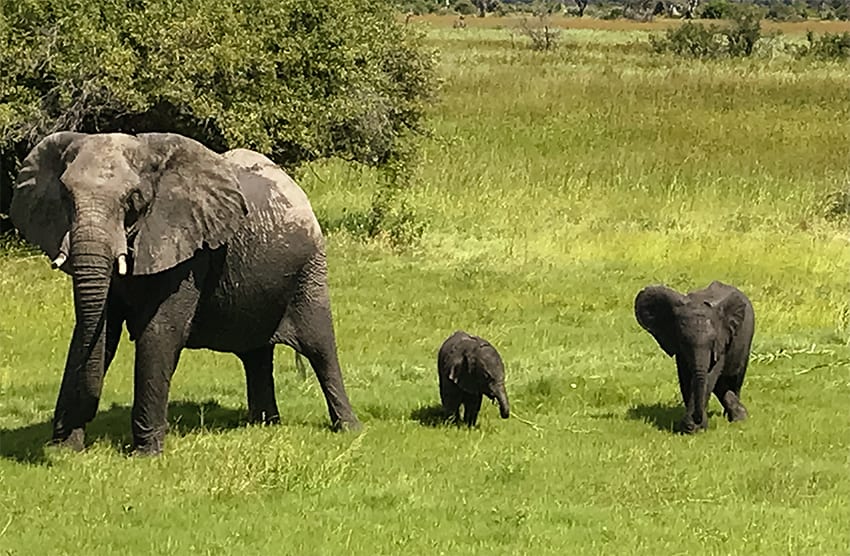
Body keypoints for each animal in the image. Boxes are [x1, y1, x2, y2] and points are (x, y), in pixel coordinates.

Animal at [10, 131, 361, 455]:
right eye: (65, 196)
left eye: (132, 199)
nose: (58, 440)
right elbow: (96, 332)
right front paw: (66, 450)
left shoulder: (190, 252)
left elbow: (160, 333)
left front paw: (144, 455)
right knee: (256, 355)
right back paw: (264, 424)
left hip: (309, 269)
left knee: (320, 347)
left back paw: (348, 429)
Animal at [634, 281, 754, 434]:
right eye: (683, 341)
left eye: (713, 341)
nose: (698, 419)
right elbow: (685, 377)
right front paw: (689, 428)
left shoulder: (721, 342)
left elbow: (710, 375)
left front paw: (694, 428)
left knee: (735, 379)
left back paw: (735, 417)